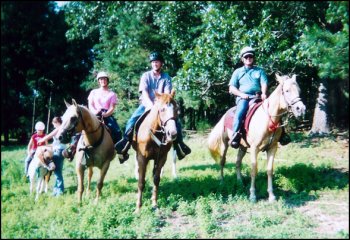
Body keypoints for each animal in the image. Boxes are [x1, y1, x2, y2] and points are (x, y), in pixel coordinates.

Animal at [208, 73, 306, 202]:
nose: (301, 109)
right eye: (287, 90)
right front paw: (253, 195)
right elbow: (254, 170)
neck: (268, 119)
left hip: (243, 147)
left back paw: (240, 182)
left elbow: (269, 170)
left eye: (299, 90)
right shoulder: (255, 148)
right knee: (222, 161)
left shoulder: (272, 148)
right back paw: (222, 182)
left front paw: (271, 195)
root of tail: (225, 114)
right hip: (225, 144)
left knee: (238, 162)